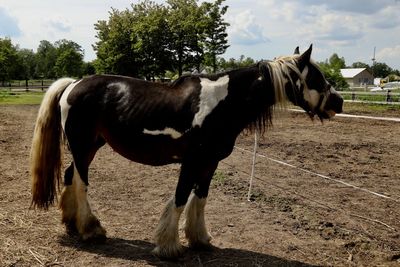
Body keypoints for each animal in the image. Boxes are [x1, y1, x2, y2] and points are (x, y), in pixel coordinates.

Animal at [31, 45, 344, 258]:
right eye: (316, 77)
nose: (338, 102)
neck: (223, 103)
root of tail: (73, 84)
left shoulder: (210, 163)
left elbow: (200, 198)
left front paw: (199, 239)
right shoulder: (191, 161)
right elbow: (181, 197)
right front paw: (168, 246)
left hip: (90, 146)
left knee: (70, 176)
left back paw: (71, 223)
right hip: (82, 146)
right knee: (81, 182)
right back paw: (90, 229)